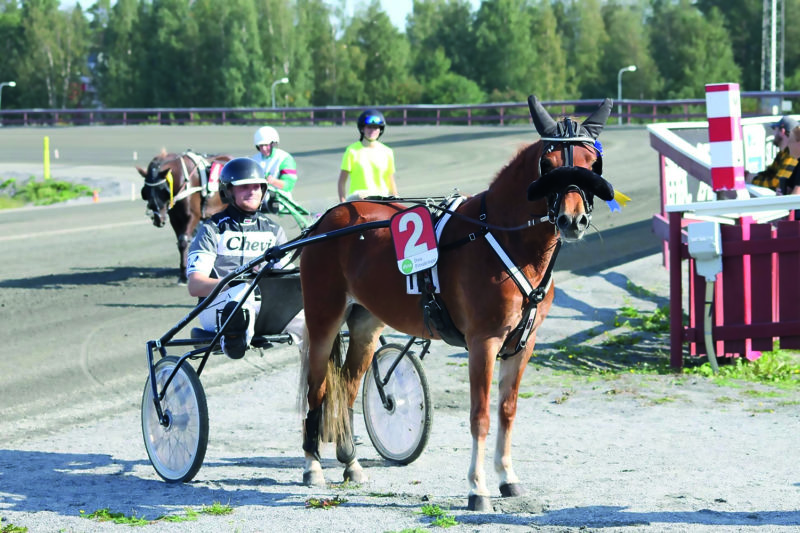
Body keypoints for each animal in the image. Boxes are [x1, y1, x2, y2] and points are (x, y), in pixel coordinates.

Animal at [137, 149, 231, 282]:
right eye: (145, 191)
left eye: (163, 190)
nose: (158, 219)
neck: (183, 181)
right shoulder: (175, 218)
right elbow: (181, 242)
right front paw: (183, 272)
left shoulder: (193, 216)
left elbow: (183, 241)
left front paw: (184, 275)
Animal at [296, 94, 616, 508]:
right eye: (548, 164)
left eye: (592, 163)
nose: (572, 220)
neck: (500, 237)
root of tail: (327, 221)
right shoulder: (484, 341)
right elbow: (480, 415)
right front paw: (477, 488)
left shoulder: (523, 343)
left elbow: (507, 411)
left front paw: (507, 477)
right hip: (324, 316)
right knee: (317, 390)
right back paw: (312, 465)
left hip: (366, 323)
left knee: (349, 387)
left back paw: (351, 462)